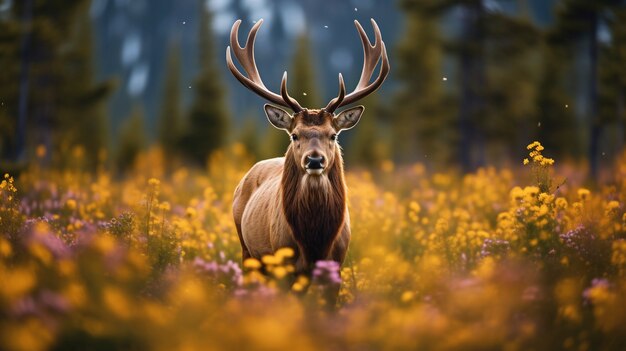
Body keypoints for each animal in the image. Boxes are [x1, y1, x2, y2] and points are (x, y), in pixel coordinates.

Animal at [227, 17, 388, 274]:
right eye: (294, 135)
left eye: (333, 135)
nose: (314, 159)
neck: (314, 243)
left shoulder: (337, 262)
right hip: (247, 249)